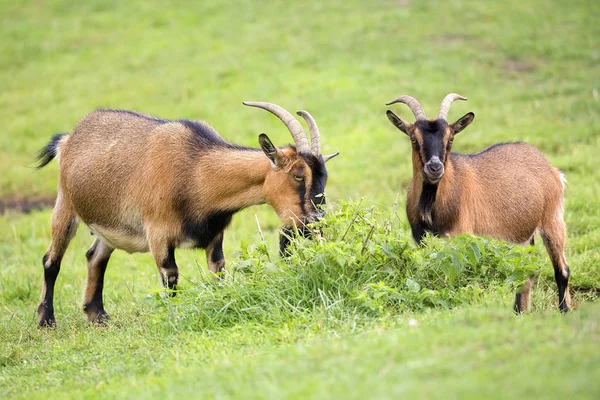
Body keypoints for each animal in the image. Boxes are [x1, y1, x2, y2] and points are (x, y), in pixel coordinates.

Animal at [35, 101, 340, 326]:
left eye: (324, 177)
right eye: (298, 175)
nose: (314, 224)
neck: (196, 171)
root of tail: (67, 140)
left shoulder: (215, 235)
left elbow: (218, 272)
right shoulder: (158, 234)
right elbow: (170, 277)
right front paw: (175, 316)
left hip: (108, 226)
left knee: (95, 257)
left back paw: (98, 316)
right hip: (65, 206)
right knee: (51, 261)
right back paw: (46, 320)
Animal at [386, 93, 568, 312]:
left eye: (450, 138)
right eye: (413, 138)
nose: (435, 167)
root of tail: (551, 169)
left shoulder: (462, 238)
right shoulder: (421, 239)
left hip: (552, 219)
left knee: (562, 270)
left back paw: (564, 310)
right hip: (525, 236)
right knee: (526, 273)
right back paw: (520, 312)